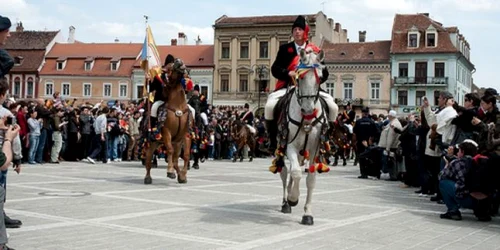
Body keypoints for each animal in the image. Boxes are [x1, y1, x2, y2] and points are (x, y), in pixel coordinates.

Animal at [276, 47, 338, 225]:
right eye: (300, 77)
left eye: (320, 77)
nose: (309, 110)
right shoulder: (289, 144)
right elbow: (296, 172)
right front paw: (293, 198)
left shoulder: (315, 148)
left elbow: (310, 179)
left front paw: (307, 214)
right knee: (284, 171)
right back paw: (286, 202)